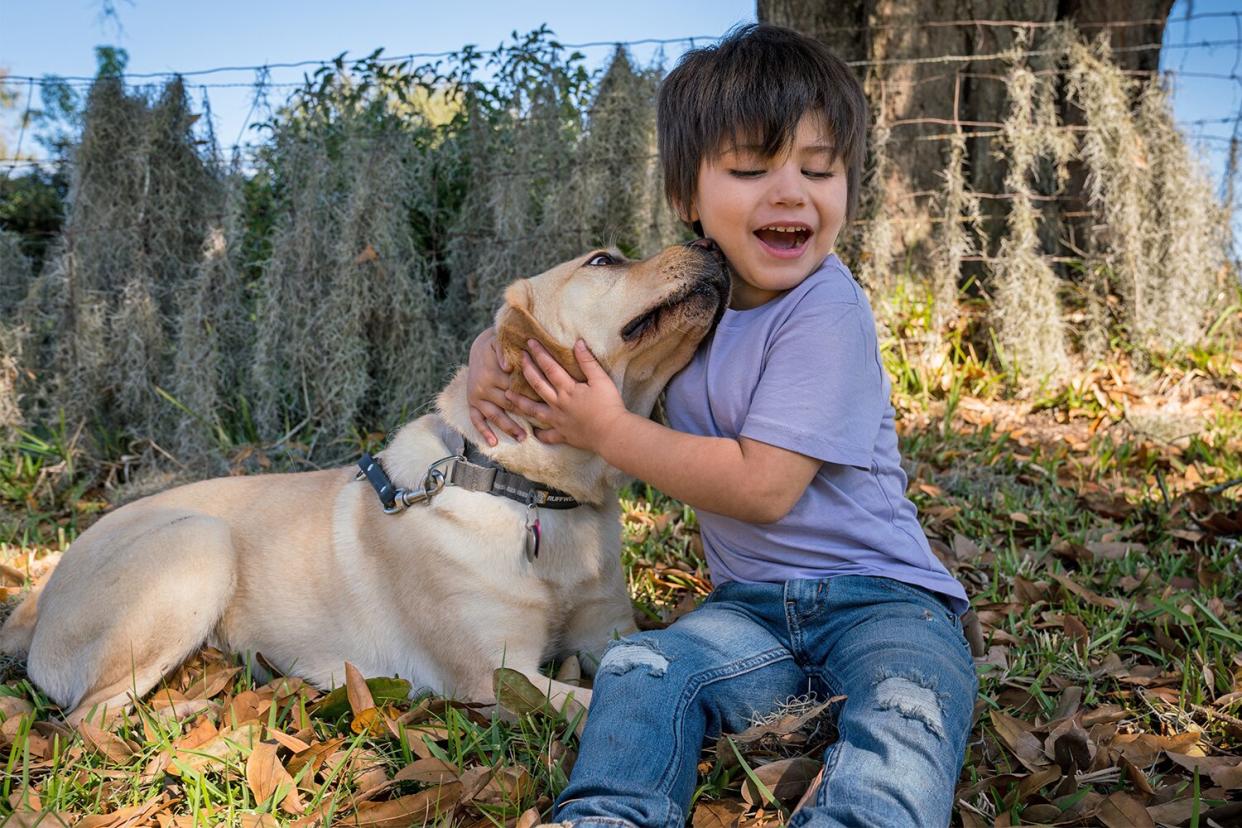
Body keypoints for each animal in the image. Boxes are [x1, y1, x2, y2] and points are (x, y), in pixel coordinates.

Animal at [0, 240, 725, 724]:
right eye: (603, 260)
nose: (710, 243)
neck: (529, 493)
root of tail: (37, 598)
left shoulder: (607, 633)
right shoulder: (498, 673)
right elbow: (593, 695)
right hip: (198, 547)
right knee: (85, 719)